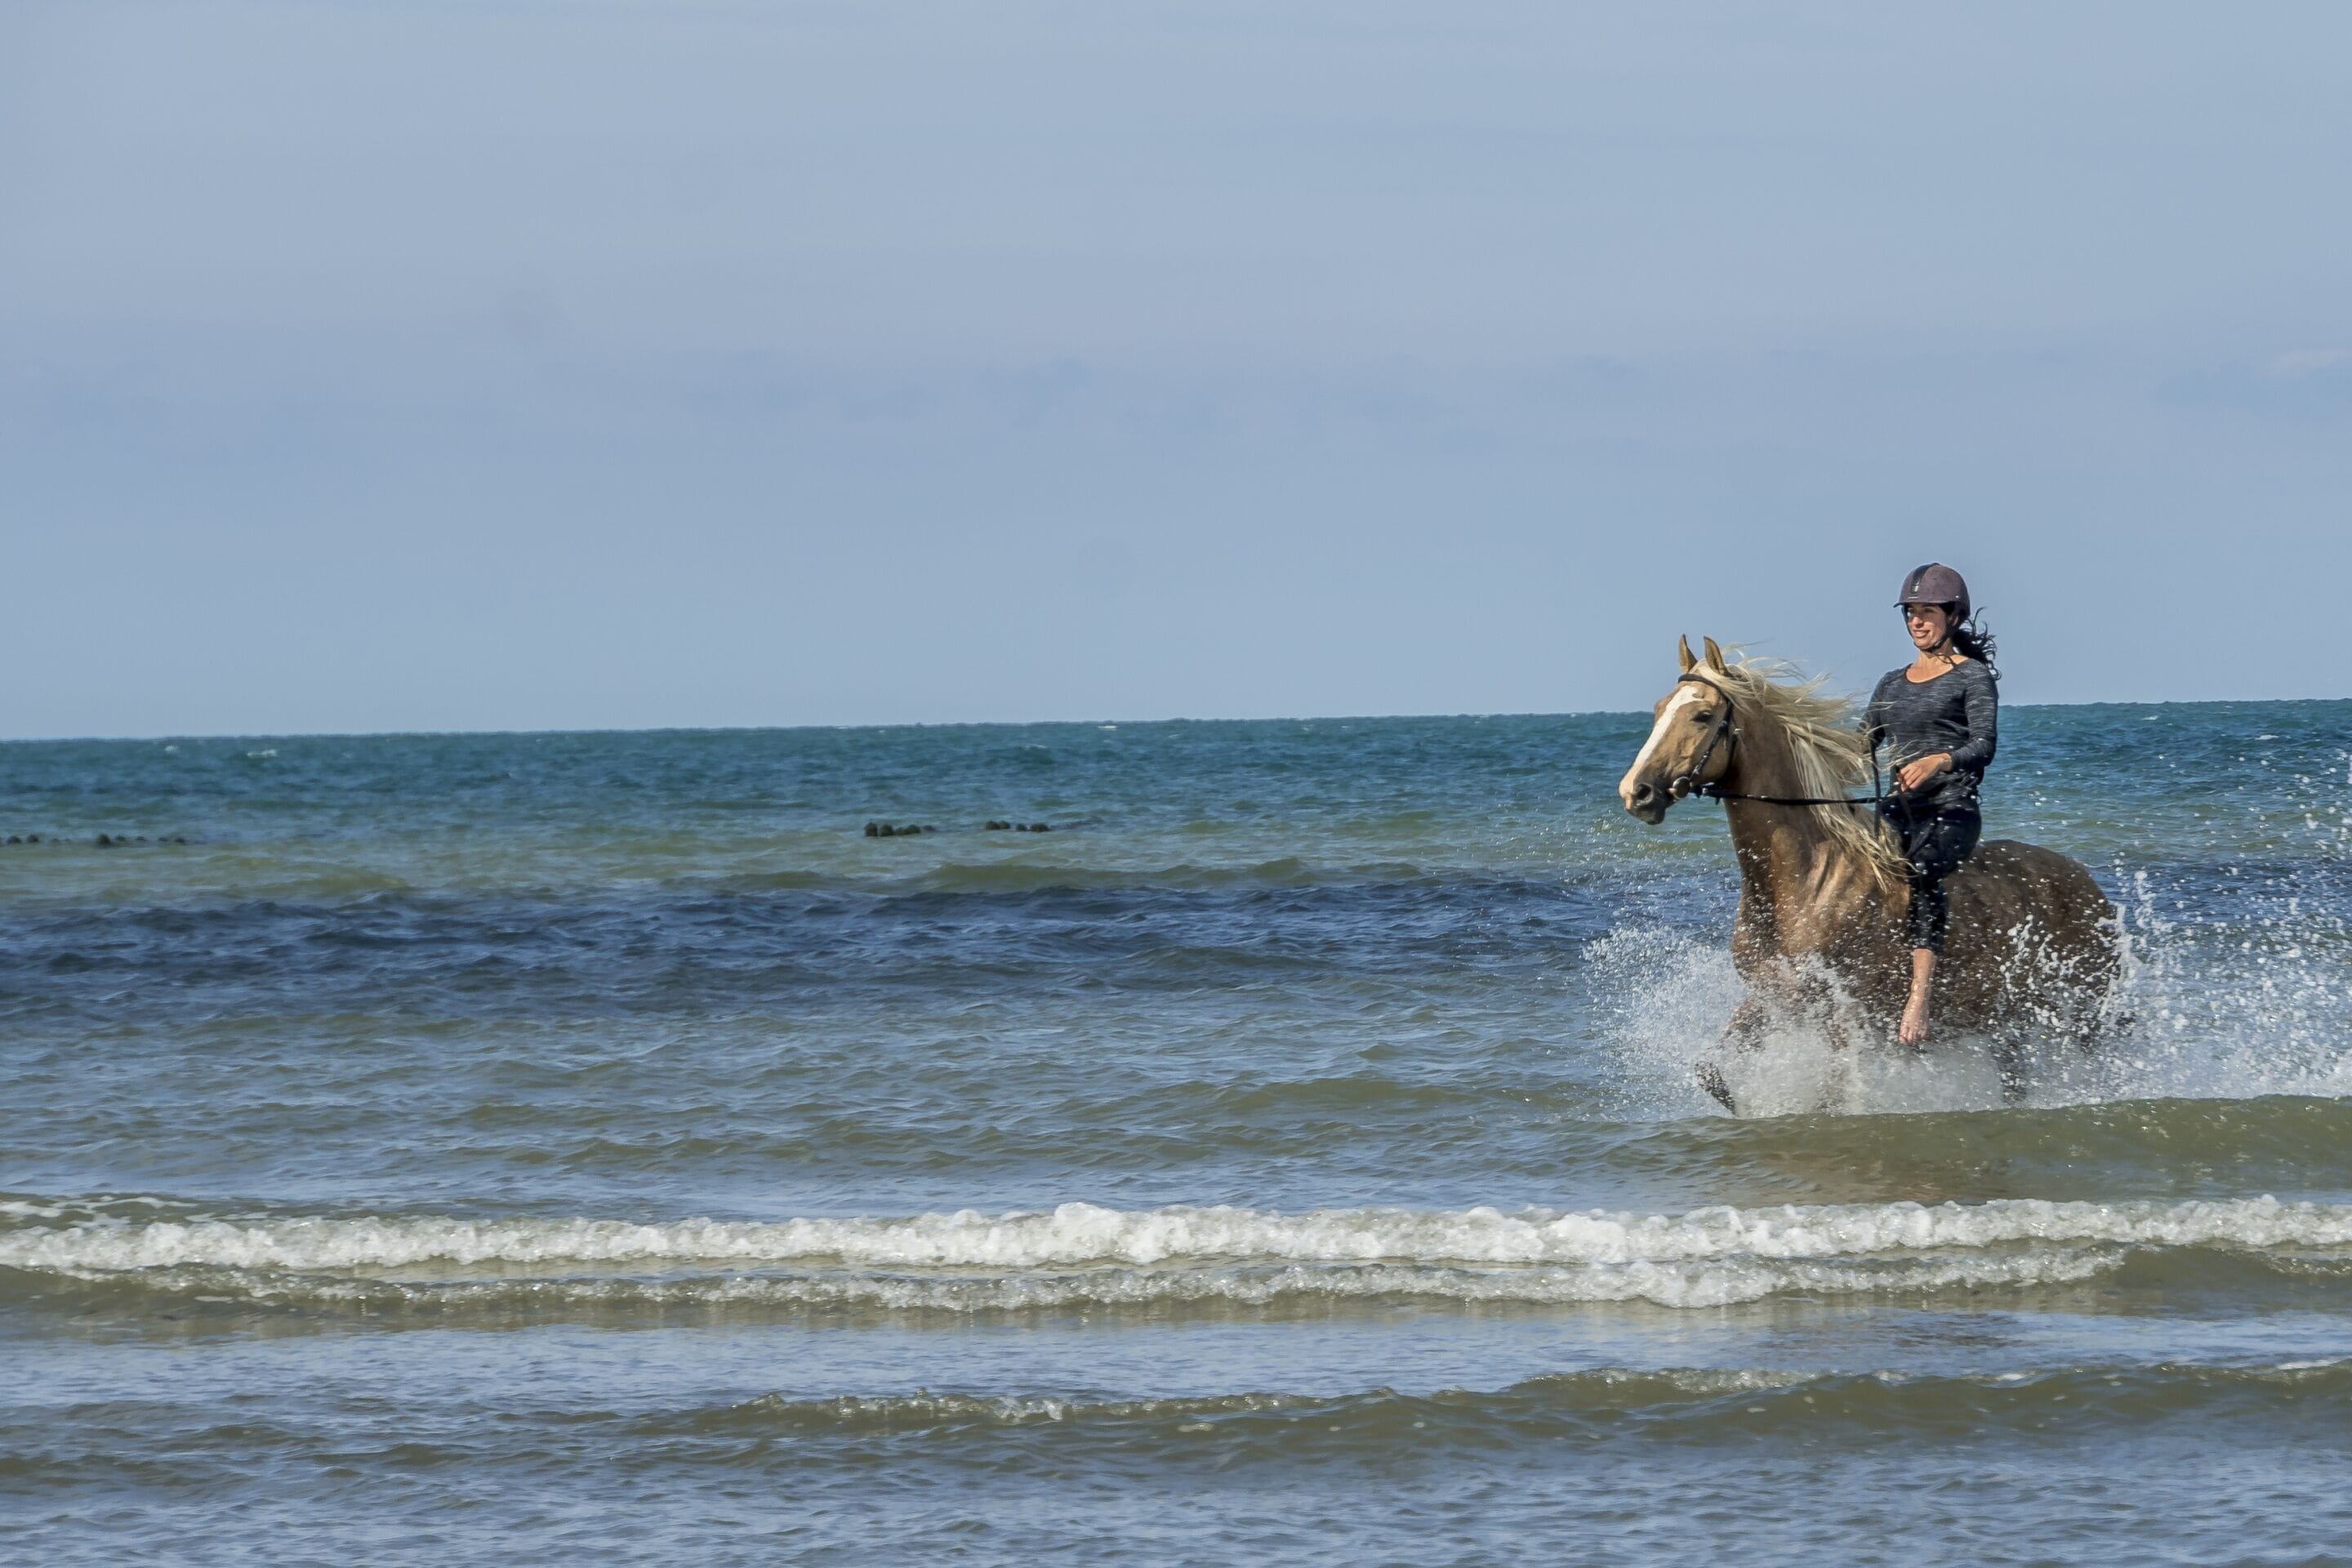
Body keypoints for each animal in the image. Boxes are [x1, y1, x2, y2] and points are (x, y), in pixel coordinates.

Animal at [1616, 635, 2122, 1112]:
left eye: (1702, 716)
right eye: (1659, 710)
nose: (1635, 793)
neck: (1806, 882)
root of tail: (2086, 882)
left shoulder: (1842, 1016)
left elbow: (1834, 1095)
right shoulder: (1775, 1000)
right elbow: (1710, 1072)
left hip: (2085, 1009)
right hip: (2009, 1023)